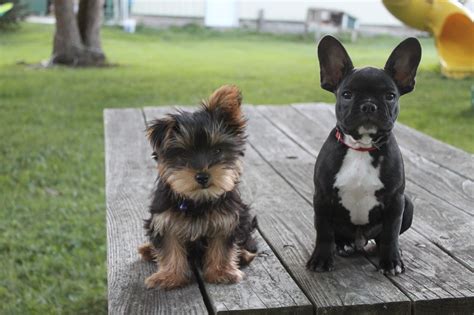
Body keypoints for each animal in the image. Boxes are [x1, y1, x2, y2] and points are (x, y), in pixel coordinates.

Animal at [139, 85, 258, 290]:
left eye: (217, 150)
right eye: (184, 154)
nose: (202, 176)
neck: (198, 199)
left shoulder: (228, 219)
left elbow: (222, 245)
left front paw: (221, 272)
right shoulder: (164, 220)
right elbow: (169, 246)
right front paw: (169, 276)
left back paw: (244, 254)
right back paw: (148, 249)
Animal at [308, 35, 422, 276]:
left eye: (390, 96)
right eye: (347, 95)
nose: (369, 105)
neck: (362, 147)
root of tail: (360, 240)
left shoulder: (396, 200)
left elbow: (390, 234)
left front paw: (391, 261)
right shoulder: (322, 198)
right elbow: (323, 231)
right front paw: (321, 258)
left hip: (408, 204)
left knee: (382, 237)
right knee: (337, 235)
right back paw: (343, 245)